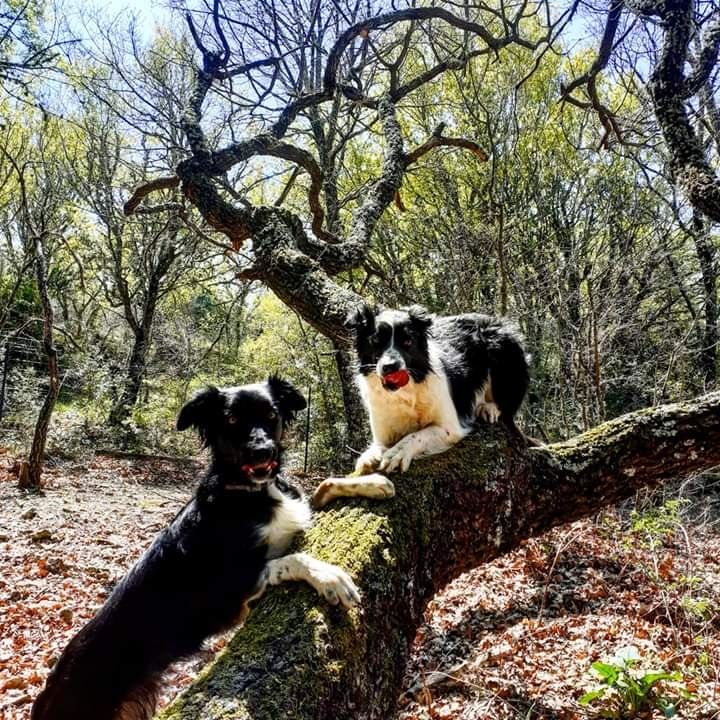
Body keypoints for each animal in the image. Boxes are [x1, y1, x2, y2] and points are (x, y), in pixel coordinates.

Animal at [33, 376, 360, 720]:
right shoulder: (228, 591)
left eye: (271, 414)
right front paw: (329, 576)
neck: (252, 492)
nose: (261, 452)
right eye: (232, 419)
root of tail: (49, 690)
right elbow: (290, 558)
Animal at [348, 302, 528, 476]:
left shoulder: (450, 429)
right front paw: (369, 457)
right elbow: (377, 447)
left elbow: (417, 435)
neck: (405, 393)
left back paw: (488, 408)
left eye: (408, 341)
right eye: (375, 340)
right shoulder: (383, 435)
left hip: (499, 344)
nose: (390, 367)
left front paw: (397, 453)